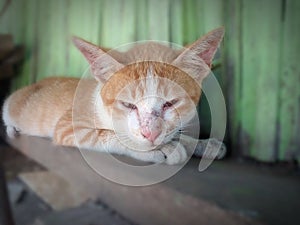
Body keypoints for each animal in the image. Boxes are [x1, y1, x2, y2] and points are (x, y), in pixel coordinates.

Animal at [1, 27, 225, 165]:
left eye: (170, 103)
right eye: (128, 105)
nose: (151, 135)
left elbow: (176, 134)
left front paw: (202, 144)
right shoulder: (67, 127)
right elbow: (110, 135)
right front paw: (165, 148)